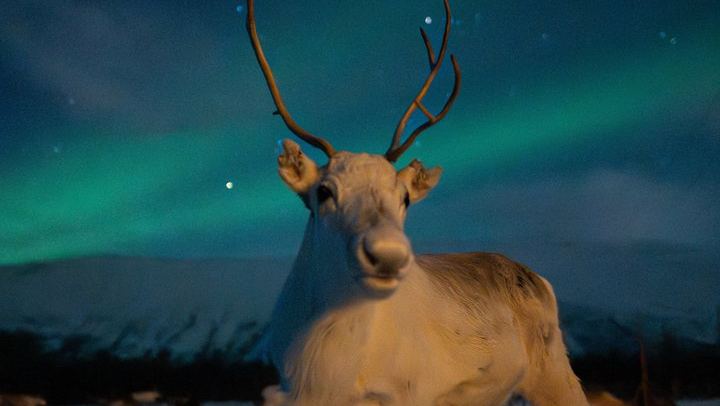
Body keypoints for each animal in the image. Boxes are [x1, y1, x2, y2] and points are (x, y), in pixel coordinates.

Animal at [245, 0, 589, 405]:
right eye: (324, 191)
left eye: (405, 197)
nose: (388, 254)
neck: (325, 375)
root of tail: (537, 277)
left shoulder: (409, 394)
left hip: (555, 372)